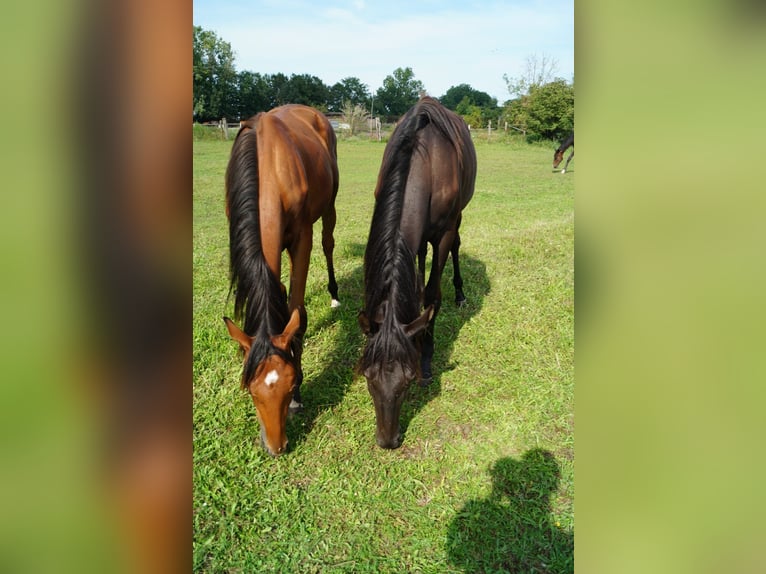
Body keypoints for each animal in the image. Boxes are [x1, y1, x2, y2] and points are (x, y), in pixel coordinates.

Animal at [224, 104, 340, 460]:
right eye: (250, 390)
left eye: (289, 387)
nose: (276, 447)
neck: (269, 170)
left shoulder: (302, 237)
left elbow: (297, 311)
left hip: (329, 205)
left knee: (329, 242)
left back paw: (334, 295)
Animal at [358, 98, 476, 450]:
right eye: (367, 376)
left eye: (409, 378)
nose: (387, 440)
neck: (426, 163)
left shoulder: (445, 232)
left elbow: (434, 294)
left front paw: (427, 357)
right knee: (420, 255)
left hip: (458, 218)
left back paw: (460, 294)